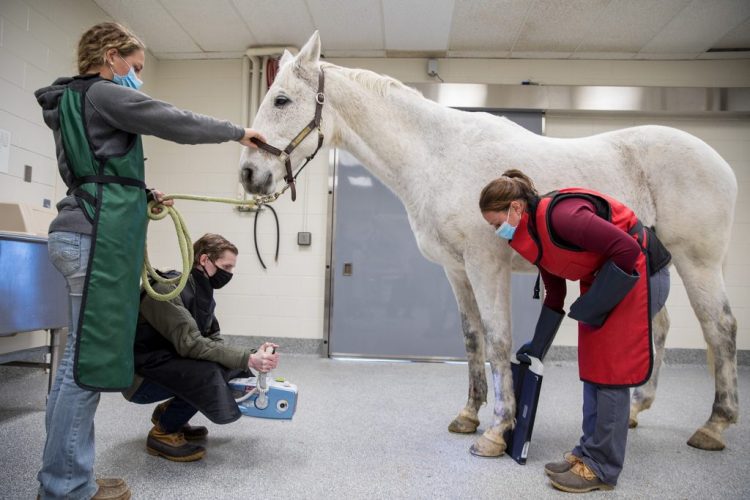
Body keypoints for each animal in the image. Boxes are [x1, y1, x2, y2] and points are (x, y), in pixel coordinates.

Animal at [239, 32, 739, 457]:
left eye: (281, 99)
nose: (248, 174)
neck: (438, 156)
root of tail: (721, 163)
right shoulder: (457, 270)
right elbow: (472, 339)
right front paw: (468, 415)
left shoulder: (486, 265)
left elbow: (499, 341)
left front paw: (498, 430)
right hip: (654, 268)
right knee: (659, 327)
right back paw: (637, 410)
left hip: (697, 263)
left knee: (720, 329)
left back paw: (715, 425)